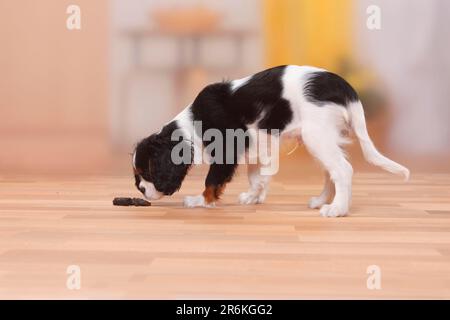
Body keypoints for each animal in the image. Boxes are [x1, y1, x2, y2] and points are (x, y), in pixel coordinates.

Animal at [132, 66, 410, 219]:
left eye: (148, 173)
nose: (141, 190)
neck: (193, 124)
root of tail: (346, 89)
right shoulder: (257, 146)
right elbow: (256, 176)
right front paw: (253, 196)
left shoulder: (227, 148)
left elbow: (212, 181)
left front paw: (200, 202)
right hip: (322, 139)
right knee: (330, 172)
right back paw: (323, 201)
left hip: (316, 136)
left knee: (342, 170)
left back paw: (337, 209)